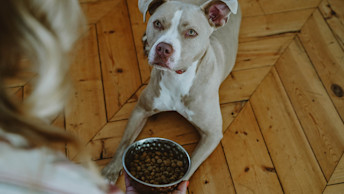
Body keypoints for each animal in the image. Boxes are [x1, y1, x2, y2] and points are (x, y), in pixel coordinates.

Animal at [102, 0, 242, 183]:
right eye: (157, 23)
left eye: (191, 32)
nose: (163, 48)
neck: (177, 78)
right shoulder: (141, 109)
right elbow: (124, 142)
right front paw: (110, 170)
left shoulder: (212, 133)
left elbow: (189, 168)